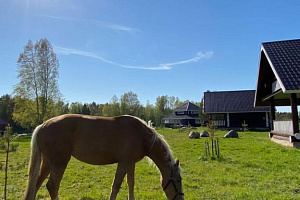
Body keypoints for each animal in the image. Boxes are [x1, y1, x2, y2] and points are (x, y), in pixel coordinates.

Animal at [23, 114, 184, 200]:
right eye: (179, 180)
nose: (182, 198)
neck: (142, 136)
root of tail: (42, 126)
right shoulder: (123, 163)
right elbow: (116, 185)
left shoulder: (130, 163)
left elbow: (130, 183)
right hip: (59, 163)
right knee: (52, 186)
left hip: (47, 163)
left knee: (35, 185)